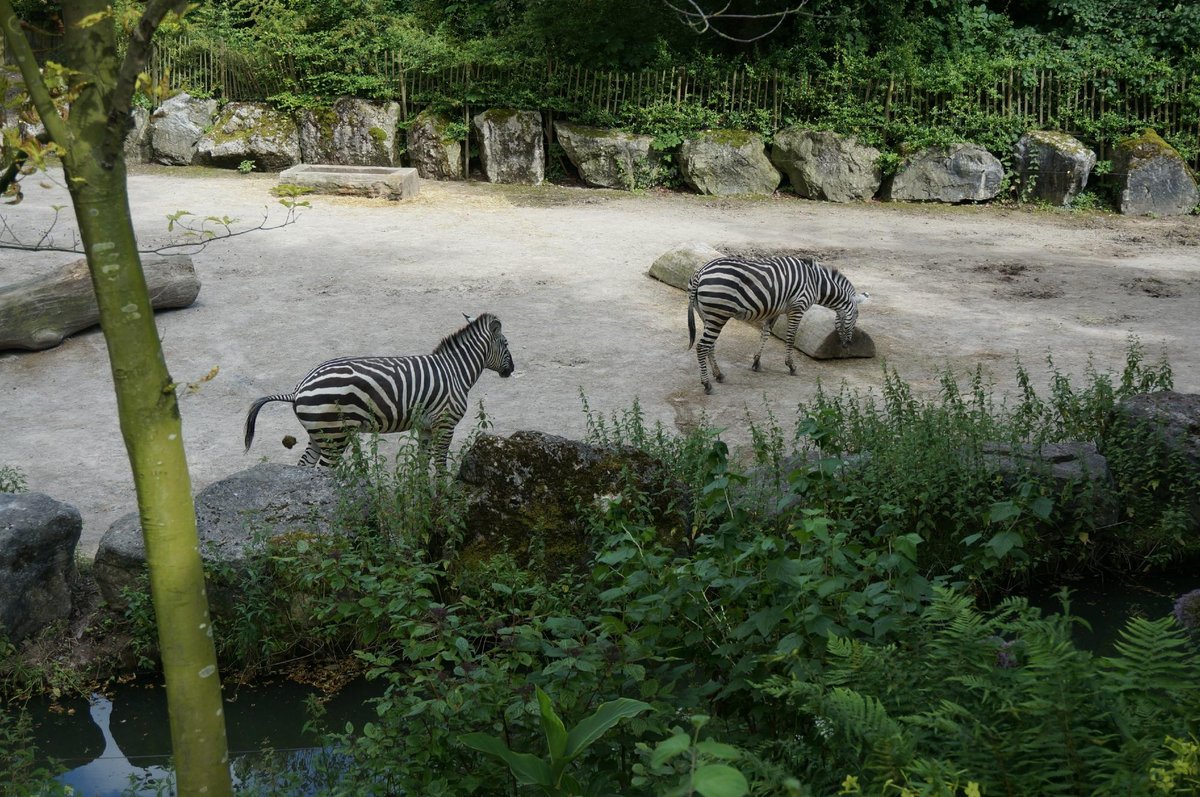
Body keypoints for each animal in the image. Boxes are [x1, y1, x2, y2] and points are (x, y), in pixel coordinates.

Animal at [243, 312, 516, 472]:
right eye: (506, 344)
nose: (512, 369)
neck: (455, 371)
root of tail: (298, 388)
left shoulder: (426, 426)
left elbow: (422, 463)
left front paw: (423, 496)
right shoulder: (445, 424)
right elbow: (439, 464)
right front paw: (442, 498)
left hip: (320, 435)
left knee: (305, 468)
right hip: (335, 436)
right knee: (323, 473)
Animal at [691, 255, 868, 391]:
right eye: (857, 316)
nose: (848, 344)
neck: (815, 283)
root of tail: (700, 272)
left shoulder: (775, 310)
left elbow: (765, 334)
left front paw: (756, 362)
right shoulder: (798, 308)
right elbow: (791, 338)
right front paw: (791, 366)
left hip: (707, 315)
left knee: (710, 345)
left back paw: (718, 375)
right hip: (718, 314)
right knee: (702, 346)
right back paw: (706, 384)